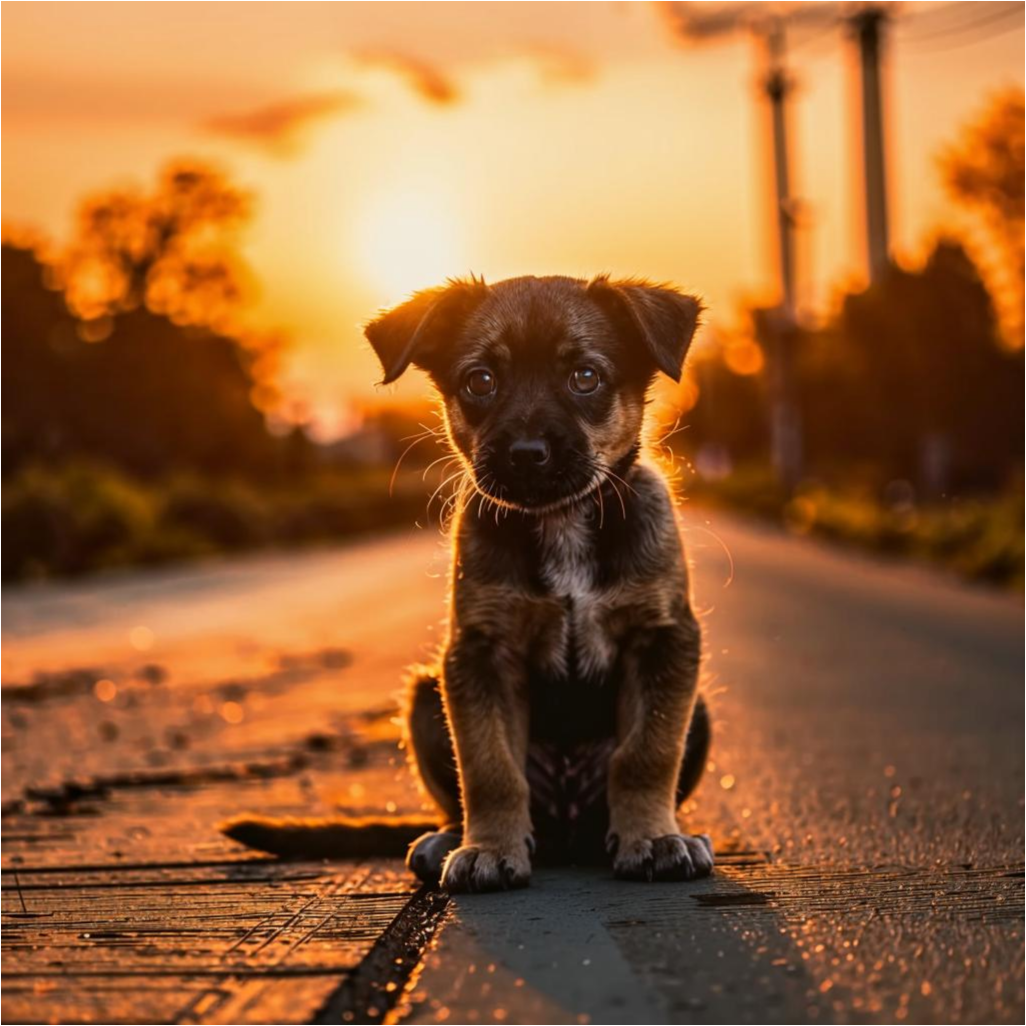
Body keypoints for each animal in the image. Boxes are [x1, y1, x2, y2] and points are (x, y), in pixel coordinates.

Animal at [222, 277, 714, 894]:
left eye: (586, 376)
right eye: (480, 380)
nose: (527, 454)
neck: (560, 521)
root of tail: (567, 834)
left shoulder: (663, 639)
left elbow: (646, 754)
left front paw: (653, 838)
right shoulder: (480, 654)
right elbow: (488, 766)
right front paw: (489, 849)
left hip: (697, 710)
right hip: (423, 695)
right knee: (461, 797)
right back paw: (448, 839)